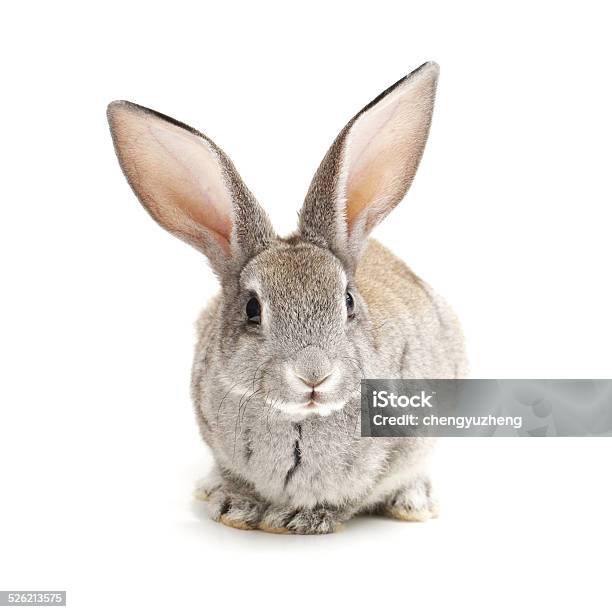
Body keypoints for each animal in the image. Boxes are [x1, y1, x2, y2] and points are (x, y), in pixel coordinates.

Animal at [106, 59, 468, 532]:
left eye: (348, 301)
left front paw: (296, 518)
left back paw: (412, 503)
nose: (313, 374)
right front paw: (233, 506)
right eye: (252, 309)